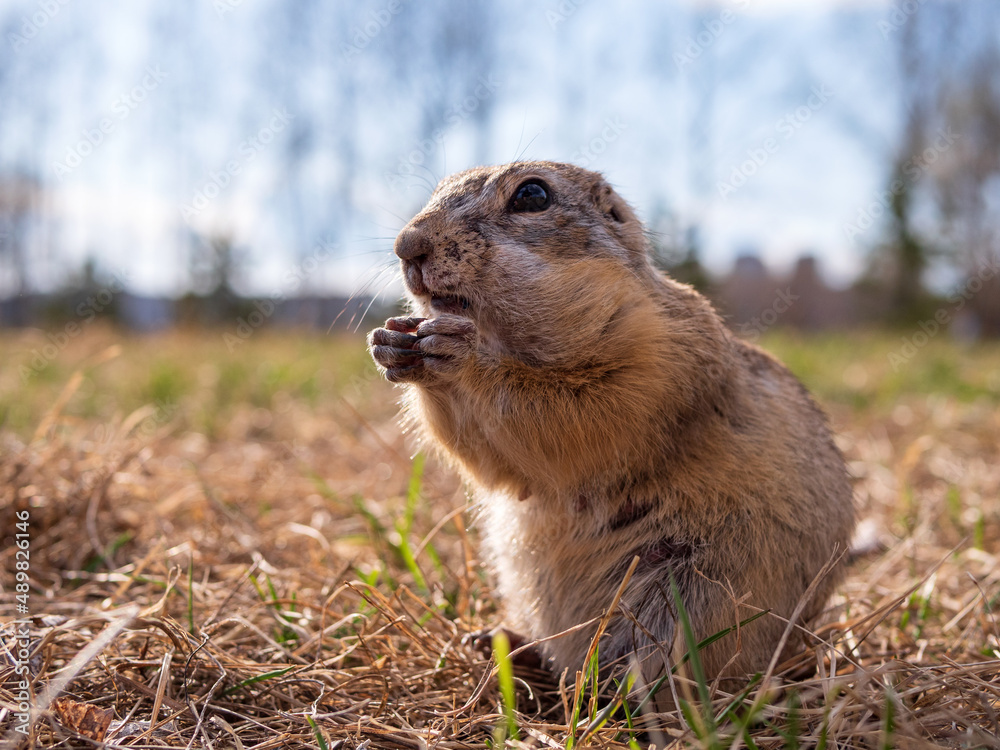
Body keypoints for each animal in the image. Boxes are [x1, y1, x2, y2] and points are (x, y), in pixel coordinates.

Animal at [372, 162, 856, 696]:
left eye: (532, 195)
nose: (407, 245)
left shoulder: (659, 359)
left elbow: (583, 416)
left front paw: (465, 355)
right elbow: (494, 464)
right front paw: (390, 341)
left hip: (684, 598)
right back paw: (505, 644)